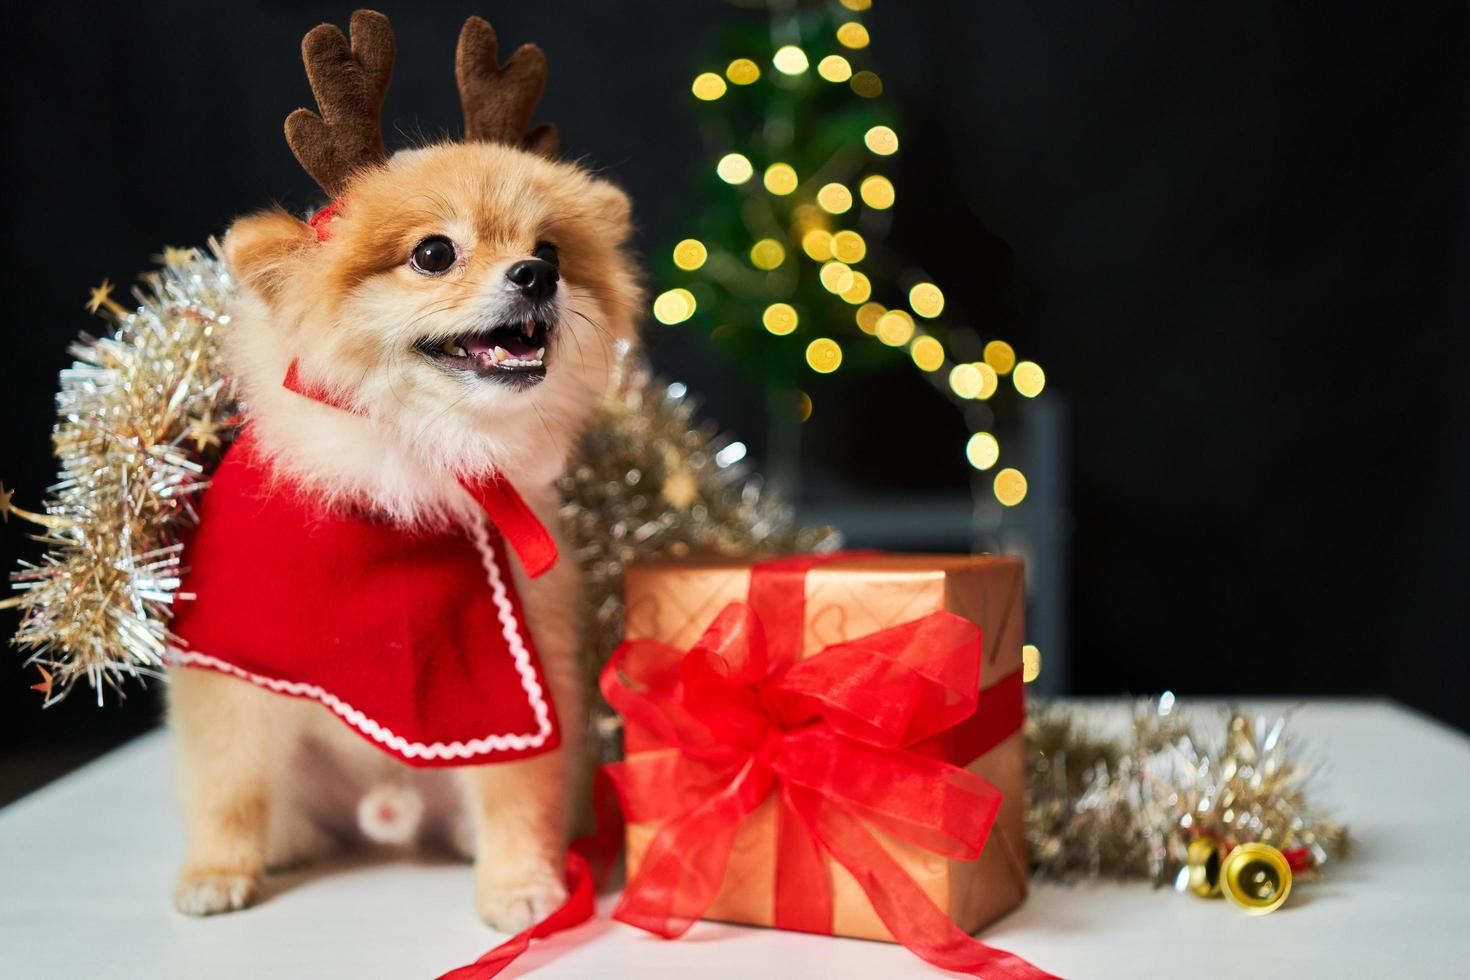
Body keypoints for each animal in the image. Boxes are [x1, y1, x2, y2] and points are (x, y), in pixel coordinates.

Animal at [168, 11, 637, 934]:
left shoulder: (511, 670)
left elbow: (515, 789)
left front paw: (520, 884)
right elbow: (225, 784)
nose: (538, 274)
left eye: (551, 247)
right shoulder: (229, 669)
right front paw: (215, 870)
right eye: (433, 253)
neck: (418, 460)